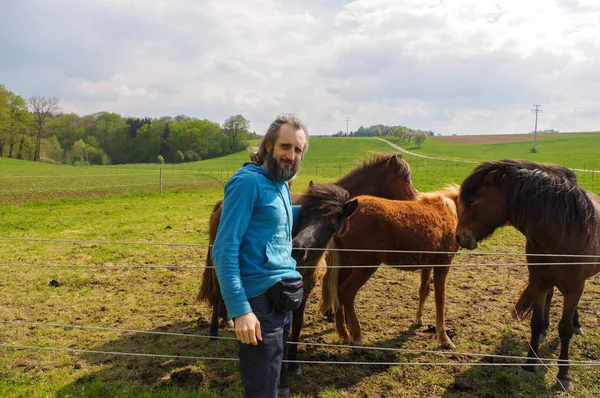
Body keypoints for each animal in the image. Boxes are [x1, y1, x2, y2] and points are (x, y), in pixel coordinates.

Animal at [318, 185, 460, 346]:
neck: (449, 210)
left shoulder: (427, 265)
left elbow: (424, 291)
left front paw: (418, 320)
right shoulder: (443, 264)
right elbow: (440, 298)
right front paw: (444, 338)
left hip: (347, 265)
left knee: (337, 291)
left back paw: (344, 333)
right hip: (364, 267)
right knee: (346, 292)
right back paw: (356, 336)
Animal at [454, 159, 600, 392]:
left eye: (472, 200)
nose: (459, 237)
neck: (563, 233)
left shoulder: (575, 285)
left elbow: (565, 329)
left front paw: (564, 375)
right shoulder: (538, 282)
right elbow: (536, 322)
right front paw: (530, 364)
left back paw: (577, 325)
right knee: (551, 298)